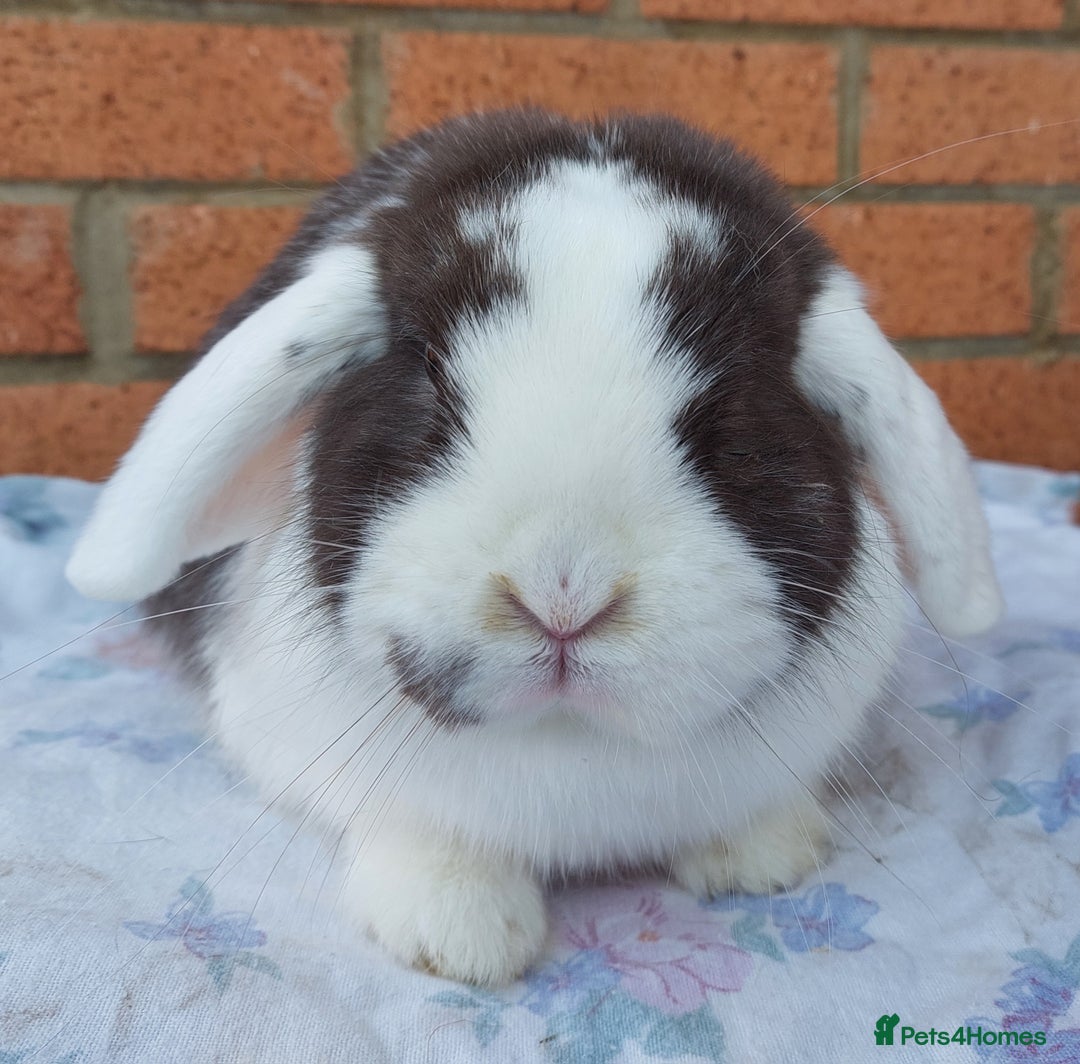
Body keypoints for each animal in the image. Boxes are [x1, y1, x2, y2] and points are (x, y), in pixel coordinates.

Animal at [66, 108, 1004, 986]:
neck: (571, 750)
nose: (564, 594)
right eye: (430, 385)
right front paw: (461, 934)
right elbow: (418, 833)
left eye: (732, 414)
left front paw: (764, 859)